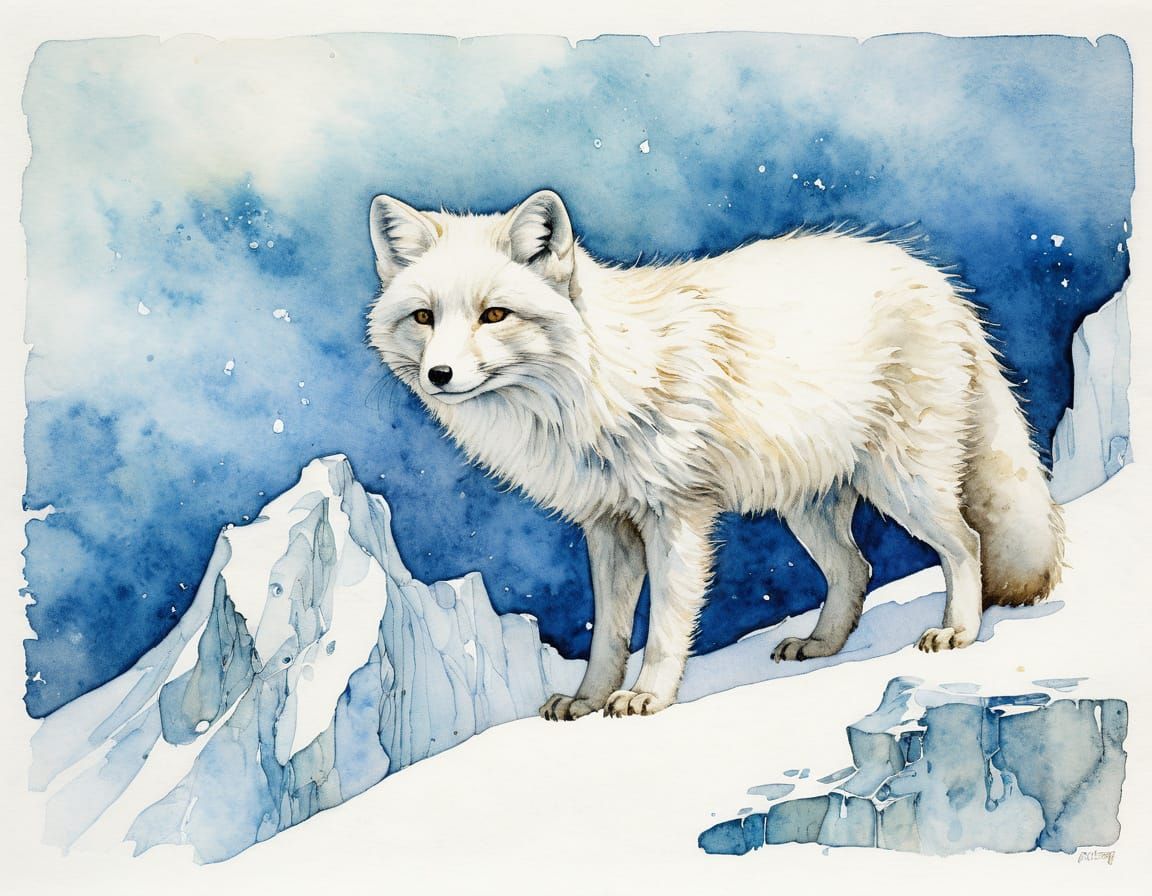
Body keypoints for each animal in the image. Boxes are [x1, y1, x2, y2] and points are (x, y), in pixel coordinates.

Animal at [366, 189, 1065, 720]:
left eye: (495, 315)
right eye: (424, 317)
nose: (439, 375)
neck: (595, 384)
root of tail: (938, 282)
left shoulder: (676, 518)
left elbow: (665, 628)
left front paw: (647, 698)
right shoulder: (607, 526)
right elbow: (608, 633)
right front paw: (588, 701)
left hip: (905, 484)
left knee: (966, 543)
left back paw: (960, 631)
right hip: (808, 507)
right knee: (856, 568)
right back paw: (823, 645)